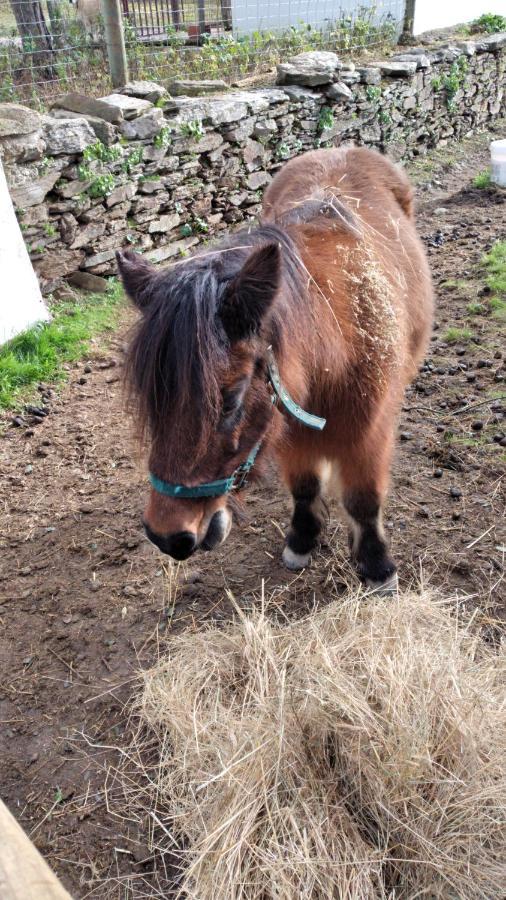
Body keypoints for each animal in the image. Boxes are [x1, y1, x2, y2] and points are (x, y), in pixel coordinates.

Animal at [116, 146, 432, 592]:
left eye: (231, 400)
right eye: (150, 398)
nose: (167, 536)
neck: (334, 349)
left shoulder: (368, 435)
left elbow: (363, 499)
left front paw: (376, 565)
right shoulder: (290, 433)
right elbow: (304, 488)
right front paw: (302, 540)